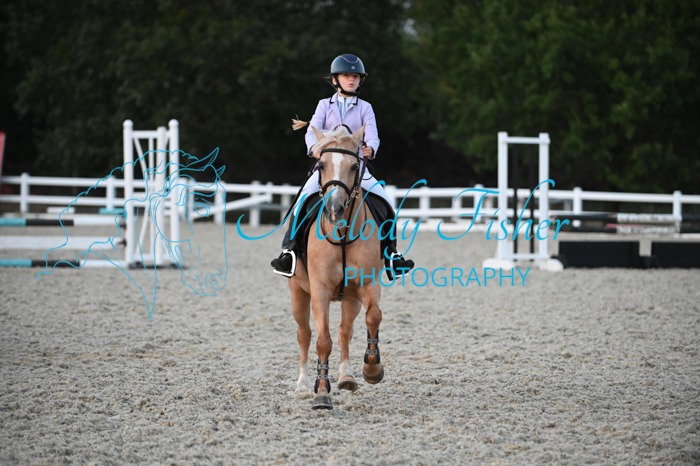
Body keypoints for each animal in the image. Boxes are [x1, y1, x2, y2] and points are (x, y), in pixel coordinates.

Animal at [289, 125, 385, 410]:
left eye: (355, 166)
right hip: (298, 294)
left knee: (345, 331)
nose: (334, 209)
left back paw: (346, 377)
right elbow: (322, 341)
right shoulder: (319, 291)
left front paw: (372, 370)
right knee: (304, 333)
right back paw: (301, 385)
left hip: (350, 299)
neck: (342, 234)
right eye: (321, 164)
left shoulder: (367, 284)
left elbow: (373, 317)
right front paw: (321, 393)